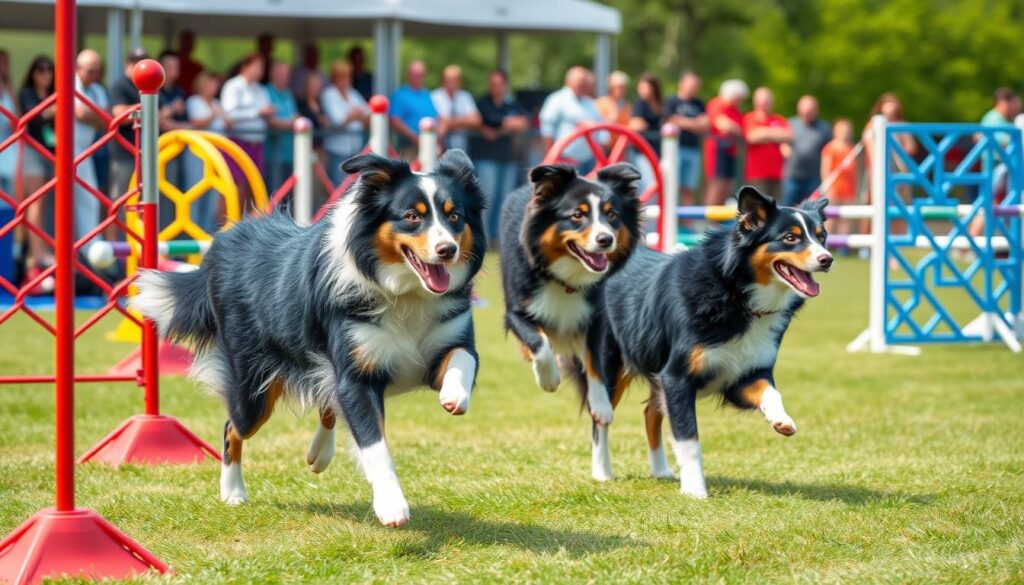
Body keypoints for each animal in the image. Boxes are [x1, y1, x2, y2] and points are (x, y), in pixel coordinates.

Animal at [131, 149, 487, 524]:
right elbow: (374, 444)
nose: (447, 249)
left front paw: (454, 395)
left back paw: (319, 454)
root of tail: (224, 243)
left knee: (325, 400)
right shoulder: (356, 376)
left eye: (455, 216)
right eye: (412, 217)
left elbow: (464, 357)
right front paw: (391, 504)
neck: (406, 294)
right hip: (252, 388)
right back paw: (233, 491)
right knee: (233, 426)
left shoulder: (439, 345)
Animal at [501, 162, 643, 477]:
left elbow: (595, 364)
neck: (566, 278)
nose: (605, 240)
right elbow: (539, 343)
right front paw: (549, 378)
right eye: (577, 215)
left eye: (612, 214)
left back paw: (602, 471)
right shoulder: (516, 311)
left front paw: (600, 403)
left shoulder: (597, 317)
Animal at [585, 187, 831, 493]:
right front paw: (695, 490)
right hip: (610, 369)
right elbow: (688, 438)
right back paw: (602, 472)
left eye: (822, 237)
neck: (737, 294)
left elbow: (771, 392)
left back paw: (661, 470)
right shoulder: (676, 376)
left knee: (650, 413)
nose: (828, 259)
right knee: (600, 418)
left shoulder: (744, 374)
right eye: (790, 238)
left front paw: (781, 419)